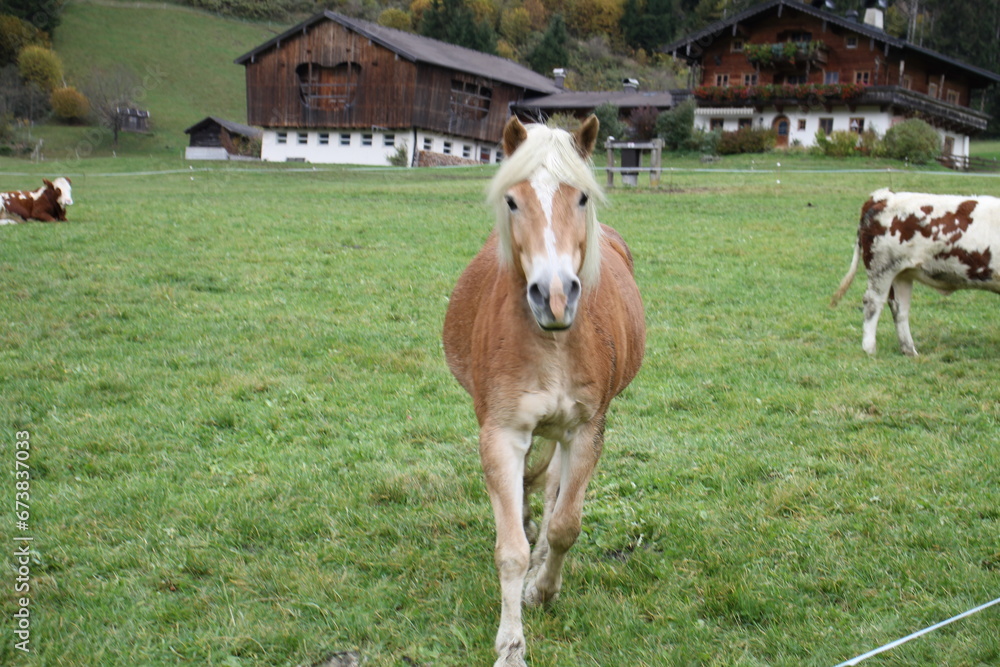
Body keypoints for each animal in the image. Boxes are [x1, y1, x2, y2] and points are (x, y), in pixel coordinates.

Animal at [442, 115, 646, 666]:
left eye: (583, 197)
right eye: (512, 200)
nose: (554, 297)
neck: (553, 342)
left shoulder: (587, 431)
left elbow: (566, 525)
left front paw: (544, 588)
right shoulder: (502, 433)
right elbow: (508, 548)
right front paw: (511, 643)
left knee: (554, 489)